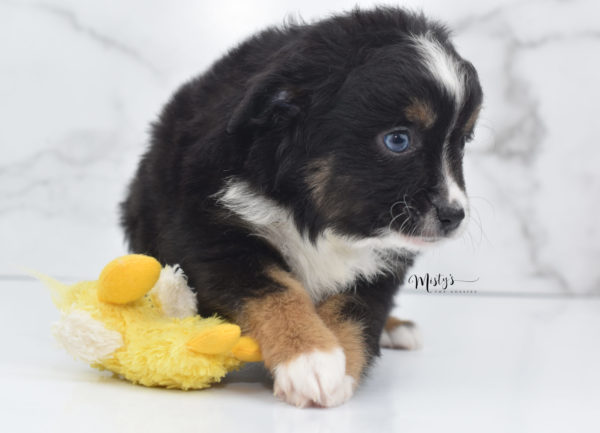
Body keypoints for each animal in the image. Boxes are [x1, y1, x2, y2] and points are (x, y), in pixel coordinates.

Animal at [120, 5, 482, 404]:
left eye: (463, 141)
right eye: (398, 140)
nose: (454, 215)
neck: (319, 216)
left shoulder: (382, 263)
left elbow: (353, 312)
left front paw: (336, 368)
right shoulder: (213, 236)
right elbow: (275, 291)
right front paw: (310, 359)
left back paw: (397, 327)